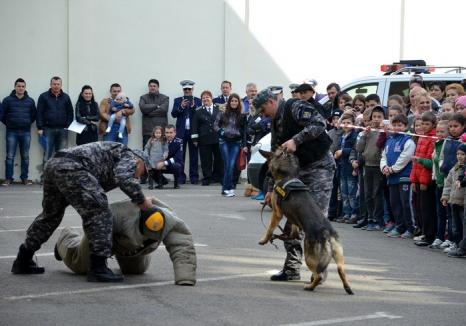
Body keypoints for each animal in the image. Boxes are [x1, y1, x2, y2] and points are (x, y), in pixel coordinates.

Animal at [258, 149, 354, 294]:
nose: (267, 174)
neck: (289, 174)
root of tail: (327, 233)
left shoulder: (277, 213)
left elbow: (269, 229)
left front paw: (264, 239)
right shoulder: (292, 219)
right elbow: (293, 229)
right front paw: (289, 235)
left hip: (310, 258)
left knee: (319, 275)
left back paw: (310, 287)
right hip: (338, 257)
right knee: (341, 271)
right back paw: (347, 288)